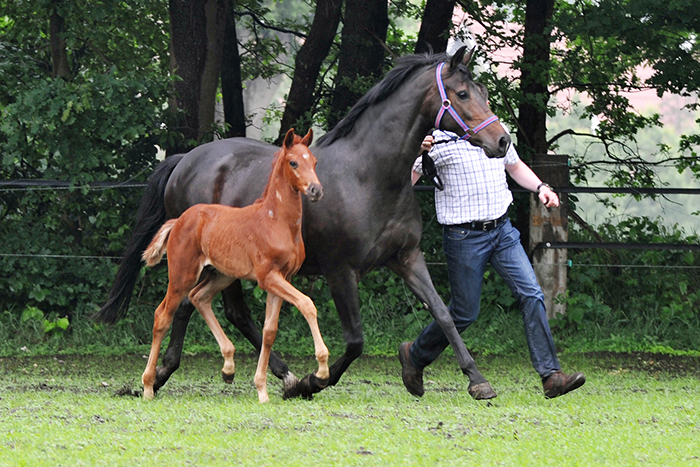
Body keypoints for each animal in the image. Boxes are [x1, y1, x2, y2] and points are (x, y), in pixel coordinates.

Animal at [141, 130, 330, 404]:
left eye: (314, 161)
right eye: (293, 162)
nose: (316, 190)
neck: (277, 221)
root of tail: (178, 220)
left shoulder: (283, 278)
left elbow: (269, 331)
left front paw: (262, 389)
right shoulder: (268, 277)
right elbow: (307, 304)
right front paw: (322, 370)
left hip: (222, 276)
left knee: (199, 297)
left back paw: (228, 365)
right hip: (182, 275)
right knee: (162, 315)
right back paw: (147, 385)